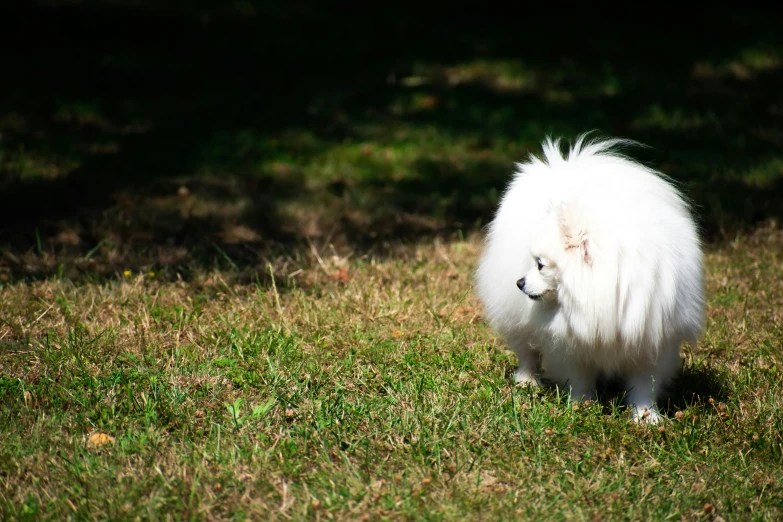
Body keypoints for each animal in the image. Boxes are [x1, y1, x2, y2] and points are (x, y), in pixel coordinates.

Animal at [474, 134, 708, 422]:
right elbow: (579, 377)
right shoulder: (569, 343)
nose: (519, 283)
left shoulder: (651, 335)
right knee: (526, 350)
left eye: (540, 265)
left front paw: (646, 416)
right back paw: (527, 381)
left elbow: (645, 383)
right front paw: (581, 406)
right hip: (515, 316)